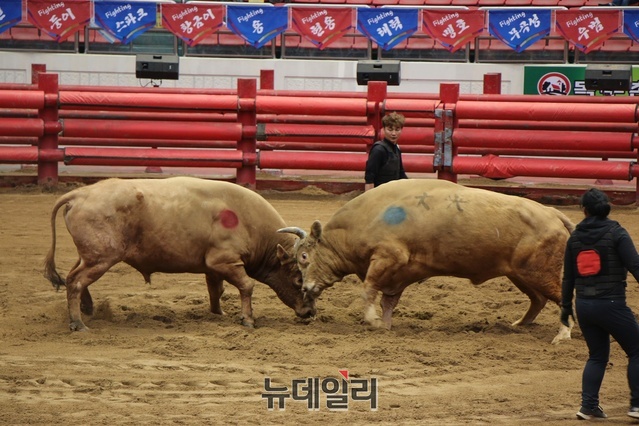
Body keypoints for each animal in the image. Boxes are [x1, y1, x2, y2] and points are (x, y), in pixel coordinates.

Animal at [43, 175, 316, 332]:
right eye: (298, 280)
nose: (310, 313)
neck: (248, 221)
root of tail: (80, 194)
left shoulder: (213, 267)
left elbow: (215, 290)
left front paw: (219, 314)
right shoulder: (225, 261)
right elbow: (246, 286)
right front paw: (247, 319)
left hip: (90, 256)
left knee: (73, 277)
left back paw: (88, 309)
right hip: (101, 258)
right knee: (75, 281)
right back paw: (78, 323)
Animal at [282, 179, 576, 342]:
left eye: (304, 256)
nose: (306, 288)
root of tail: (551, 213)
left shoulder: (388, 259)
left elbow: (368, 290)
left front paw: (372, 320)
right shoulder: (398, 276)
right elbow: (388, 301)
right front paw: (385, 325)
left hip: (538, 272)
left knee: (561, 298)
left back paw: (562, 334)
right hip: (519, 274)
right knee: (538, 300)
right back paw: (520, 325)